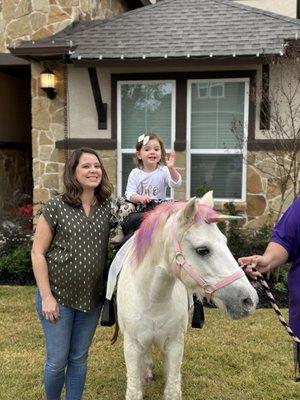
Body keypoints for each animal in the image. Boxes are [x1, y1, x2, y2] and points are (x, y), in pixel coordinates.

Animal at [115, 192, 258, 398]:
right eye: (202, 250)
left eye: (224, 242)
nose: (249, 301)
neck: (152, 298)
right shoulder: (132, 346)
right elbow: (134, 390)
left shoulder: (175, 344)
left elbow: (173, 389)